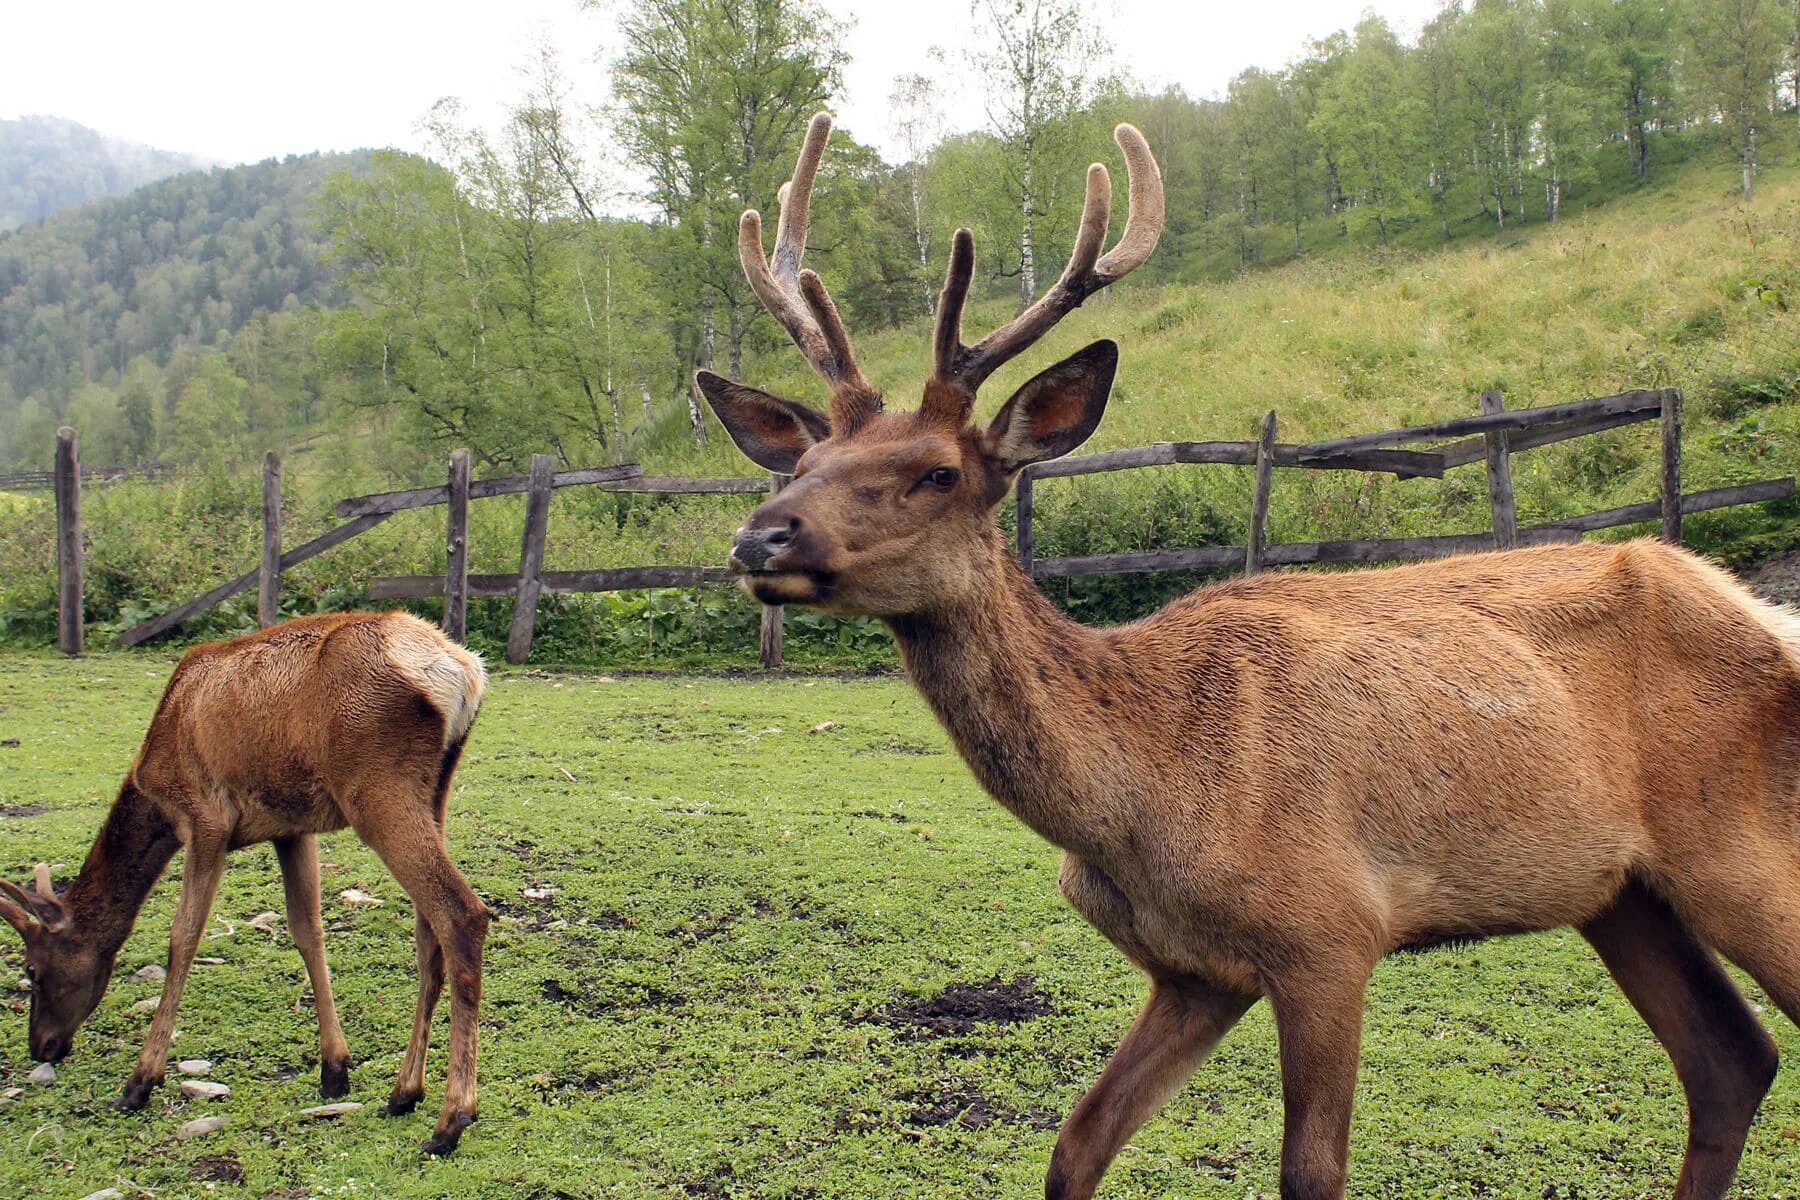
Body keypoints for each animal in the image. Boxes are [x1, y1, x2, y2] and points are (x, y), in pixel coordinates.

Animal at [0, 615, 493, 1158]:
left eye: (32, 968)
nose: (41, 1046)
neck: (153, 786)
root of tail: (463, 673)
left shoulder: (205, 819)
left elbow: (183, 937)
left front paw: (141, 1080)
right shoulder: (291, 828)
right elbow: (307, 931)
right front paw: (334, 1068)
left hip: (376, 789)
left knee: (462, 913)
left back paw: (452, 1118)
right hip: (435, 790)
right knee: (428, 935)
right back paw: (405, 1091)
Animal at [698, 115, 1800, 1200]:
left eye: (936, 472)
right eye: (804, 463)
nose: (761, 536)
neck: (1144, 800)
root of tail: (1759, 609)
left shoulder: (1330, 933)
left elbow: (1310, 1171)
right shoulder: (1193, 971)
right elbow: (1073, 1148)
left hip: (1736, 843)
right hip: (1619, 891)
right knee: (1730, 1060)